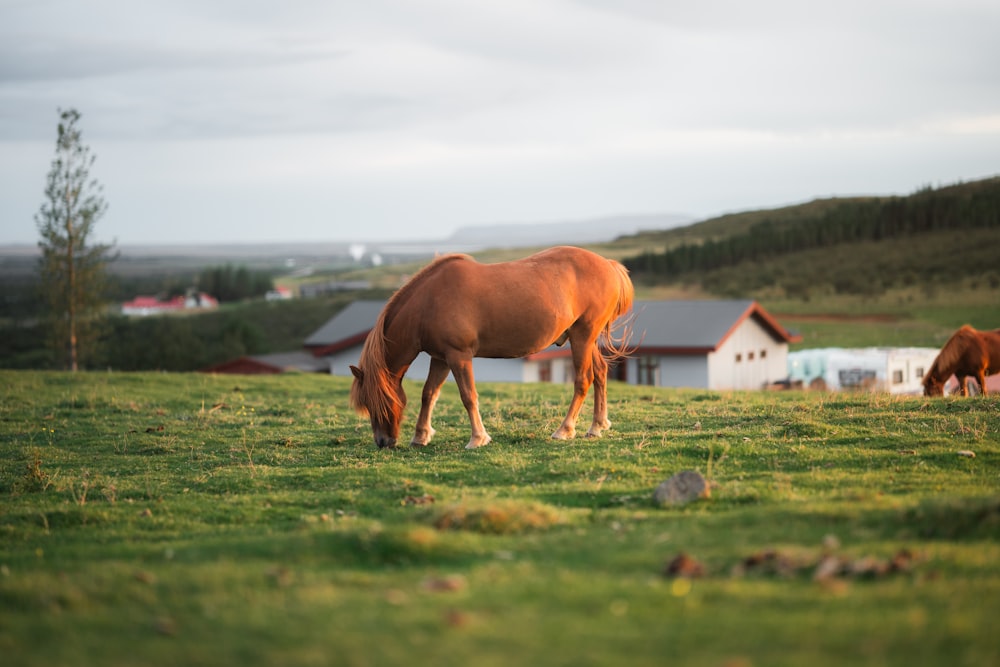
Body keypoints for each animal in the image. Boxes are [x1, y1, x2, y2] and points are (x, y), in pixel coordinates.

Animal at [352, 245, 632, 448]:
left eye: (377, 401)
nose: (383, 442)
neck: (428, 303)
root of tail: (608, 264)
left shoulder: (459, 357)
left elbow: (468, 396)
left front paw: (477, 438)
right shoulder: (440, 358)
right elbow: (428, 394)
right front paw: (421, 436)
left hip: (582, 337)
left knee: (583, 380)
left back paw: (564, 430)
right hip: (585, 339)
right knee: (600, 373)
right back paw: (597, 426)